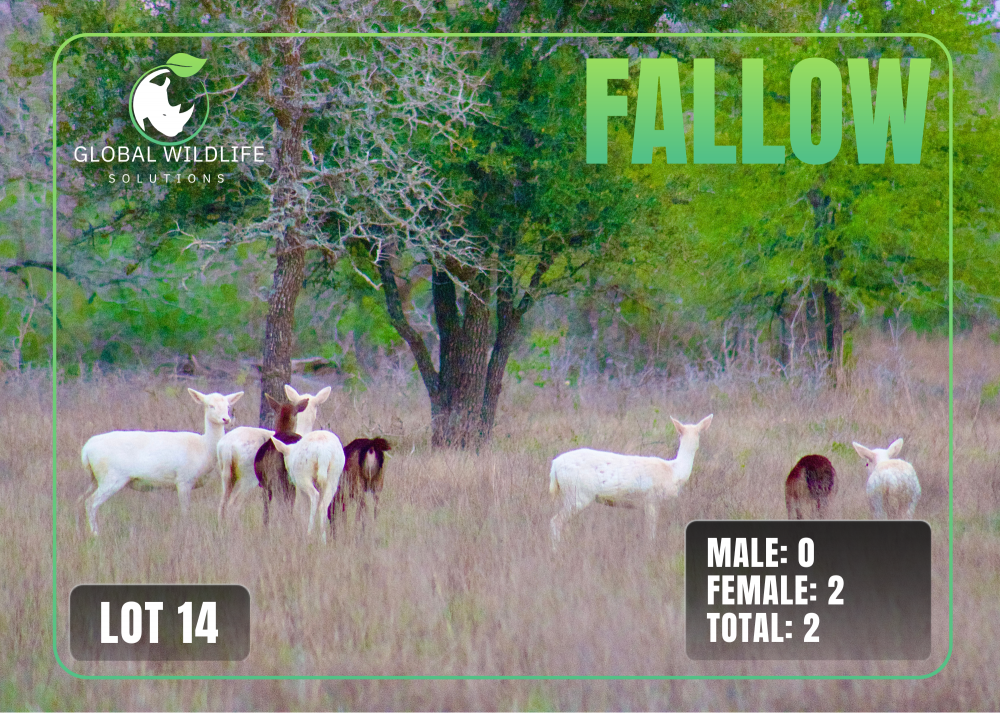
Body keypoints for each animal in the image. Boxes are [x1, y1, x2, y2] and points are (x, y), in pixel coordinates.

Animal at [81, 389, 244, 536]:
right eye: (210, 405)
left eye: (228, 405)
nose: (226, 419)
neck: (204, 448)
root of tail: (86, 449)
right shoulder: (184, 479)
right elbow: (185, 510)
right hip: (111, 478)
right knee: (90, 503)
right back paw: (95, 534)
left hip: (96, 478)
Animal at [549, 414, 713, 548]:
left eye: (698, 433)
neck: (674, 471)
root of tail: (554, 465)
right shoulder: (652, 499)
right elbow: (650, 530)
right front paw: (650, 547)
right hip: (578, 494)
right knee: (556, 521)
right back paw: (556, 549)